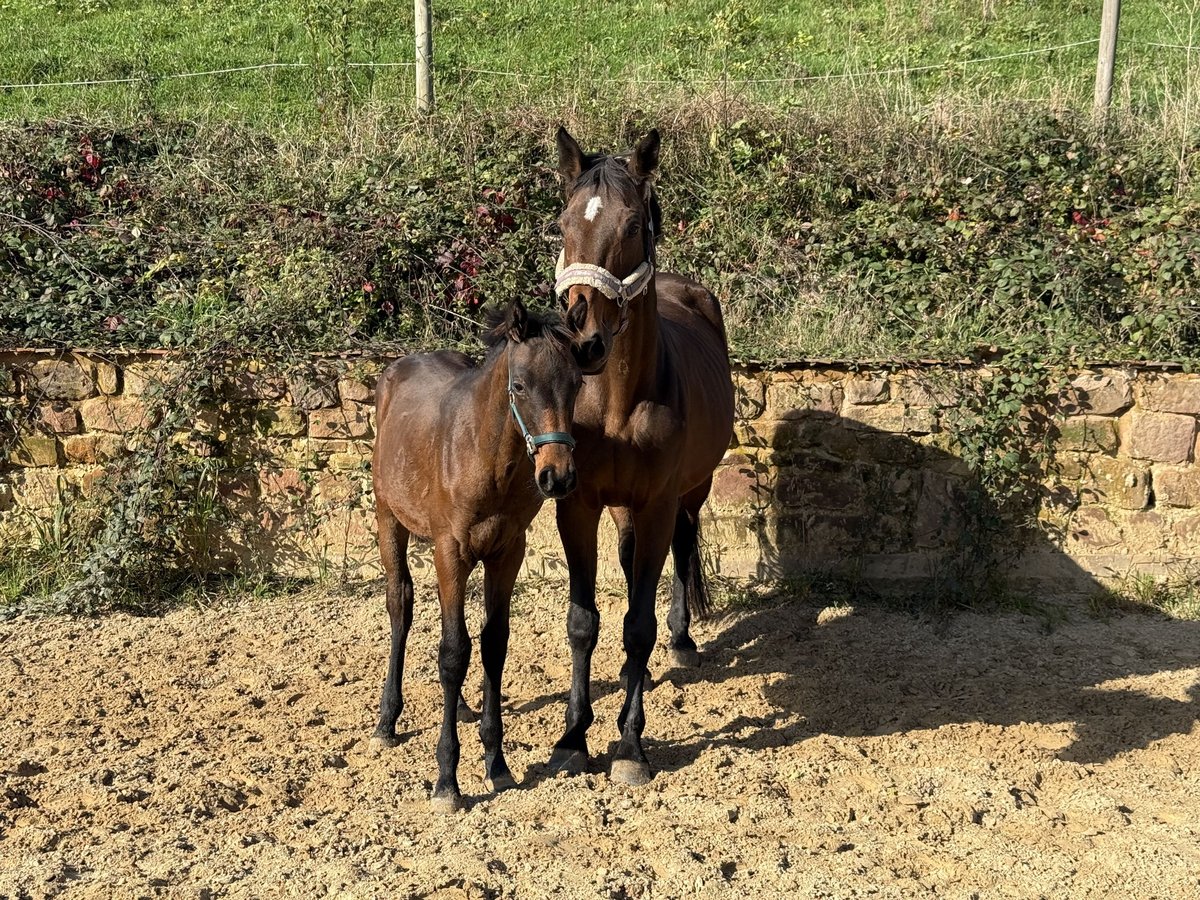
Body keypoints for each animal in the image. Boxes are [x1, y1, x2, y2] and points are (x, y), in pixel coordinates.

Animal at [372, 301, 583, 811]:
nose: (558, 477)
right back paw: (387, 721)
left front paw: (497, 763)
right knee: (400, 605)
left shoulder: (507, 552)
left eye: (577, 383)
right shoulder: (451, 550)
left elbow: (491, 645)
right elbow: (452, 653)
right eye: (520, 385)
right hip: (388, 518)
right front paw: (447, 778)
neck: (487, 457)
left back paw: (463, 708)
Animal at [549, 128, 734, 787]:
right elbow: (584, 622)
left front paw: (629, 744)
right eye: (562, 223)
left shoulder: (656, 504)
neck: (616, 401)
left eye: (632, 226)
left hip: (690, 492)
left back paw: (679, 643)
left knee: (680, 551)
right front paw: (573, 738)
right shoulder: (576, 505)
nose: (582, 340)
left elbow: (637, 623)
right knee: (633, 567)